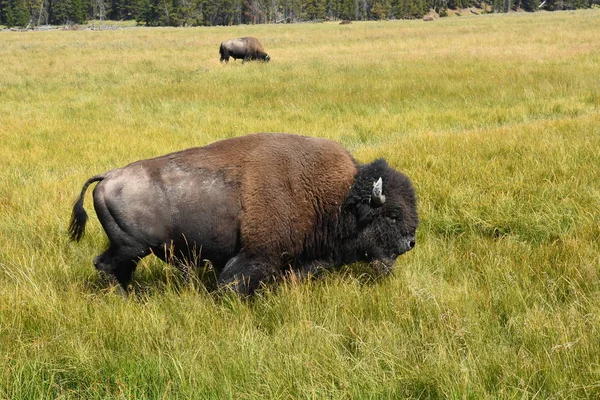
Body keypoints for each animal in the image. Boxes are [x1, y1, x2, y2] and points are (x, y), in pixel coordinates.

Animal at [69, 134, 418, 294]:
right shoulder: (256, 255)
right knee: (108, 266)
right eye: (392, 215)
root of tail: (108, 176)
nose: (410, 243)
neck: (336, 197)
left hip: (129, 249)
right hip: (132, 247)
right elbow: (234, 282)